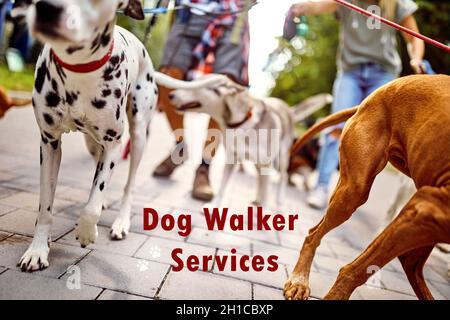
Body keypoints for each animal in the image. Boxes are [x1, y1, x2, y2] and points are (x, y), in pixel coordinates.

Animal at [18, 0, 225, 272]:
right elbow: (46, 206)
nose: (47, 9)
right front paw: (38, 250)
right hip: (91, 142)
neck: (79, 70)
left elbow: (93, 205)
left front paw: (86, 231)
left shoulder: (113, 145)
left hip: (138, 136)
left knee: (129, 185)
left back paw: (121, 221)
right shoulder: (49, 142)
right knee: (97, 163)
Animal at [284, 75, 450, 300]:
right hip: (354, 191)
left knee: (411, 264)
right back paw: (299, 281)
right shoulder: (422, 208)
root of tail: (369, 99)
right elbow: (354, 271)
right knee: (313, 234)